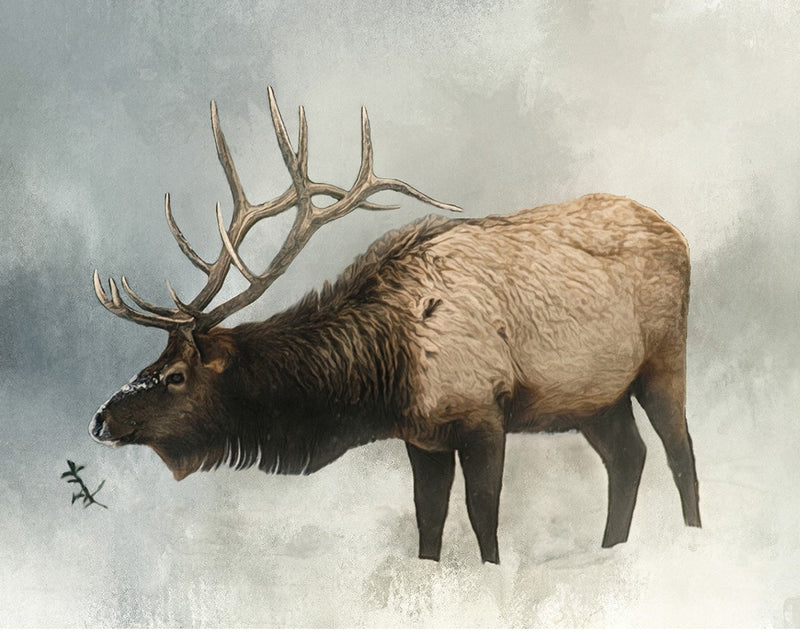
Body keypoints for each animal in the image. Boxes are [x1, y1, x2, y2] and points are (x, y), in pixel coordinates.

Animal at [90, 87, 701, 565]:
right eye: (152, 363)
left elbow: (483, 518)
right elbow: (428, 523)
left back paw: (693, 539)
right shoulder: (422, 436)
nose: (100, 419)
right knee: (628, 458)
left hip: (663, 359)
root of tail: (678, 233)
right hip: (595, 397)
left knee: (680, 453)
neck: (386, 374)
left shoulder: (484, 412)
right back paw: (611, 550)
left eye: (176, 375)